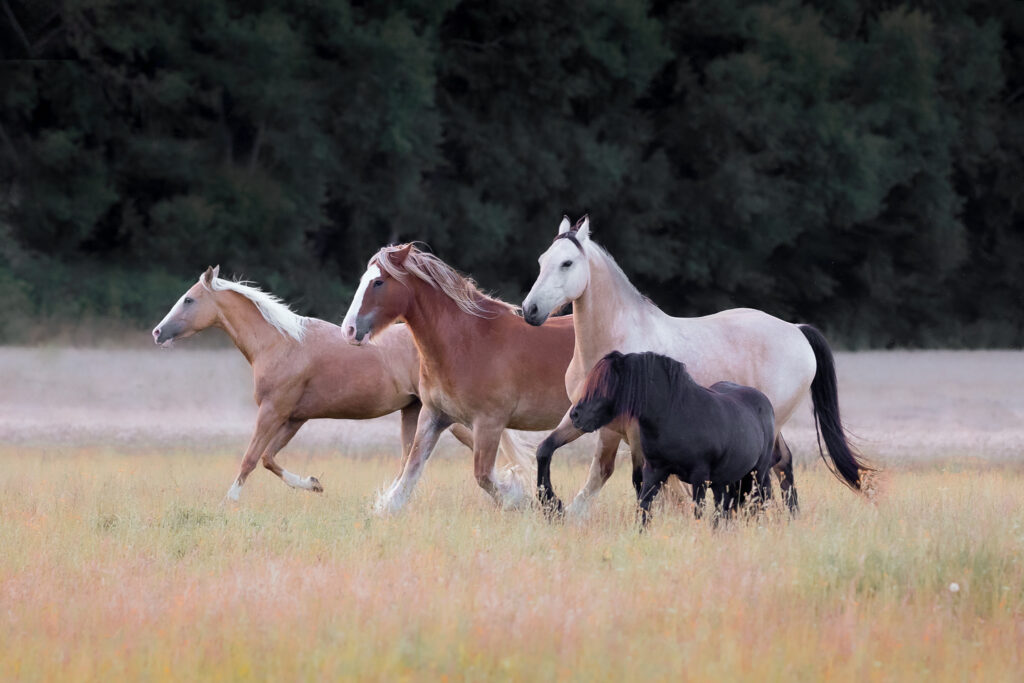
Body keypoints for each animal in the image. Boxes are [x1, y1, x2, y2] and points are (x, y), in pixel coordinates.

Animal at [152, 266, 533, 501]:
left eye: (189, 299)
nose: (157, 332)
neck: (279, 343)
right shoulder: (294, 418)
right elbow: (269, 459)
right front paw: (313, 484)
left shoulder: (273, 412)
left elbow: (250, 458)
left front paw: (228, 502)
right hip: (415, 412)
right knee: (410, 461)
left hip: (447, 417)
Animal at [340, 243, 618, 513]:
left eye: (378, 282)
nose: (349, 330)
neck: (467, 342)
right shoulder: (434, 415)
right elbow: (411, 470)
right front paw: (386, 509)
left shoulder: (489, 423)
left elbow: (484, 475)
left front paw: (519, 500)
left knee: (602, 470)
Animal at [570, 351, 776, 525]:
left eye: (605, 386)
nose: (575, 415)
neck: (675, 415)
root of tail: (764, 401)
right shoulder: (654, 471)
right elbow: (643, 508)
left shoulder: (700, 477)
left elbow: (698, 512)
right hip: (724, 480)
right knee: (724, 508)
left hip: (757, 473)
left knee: (756, 503)